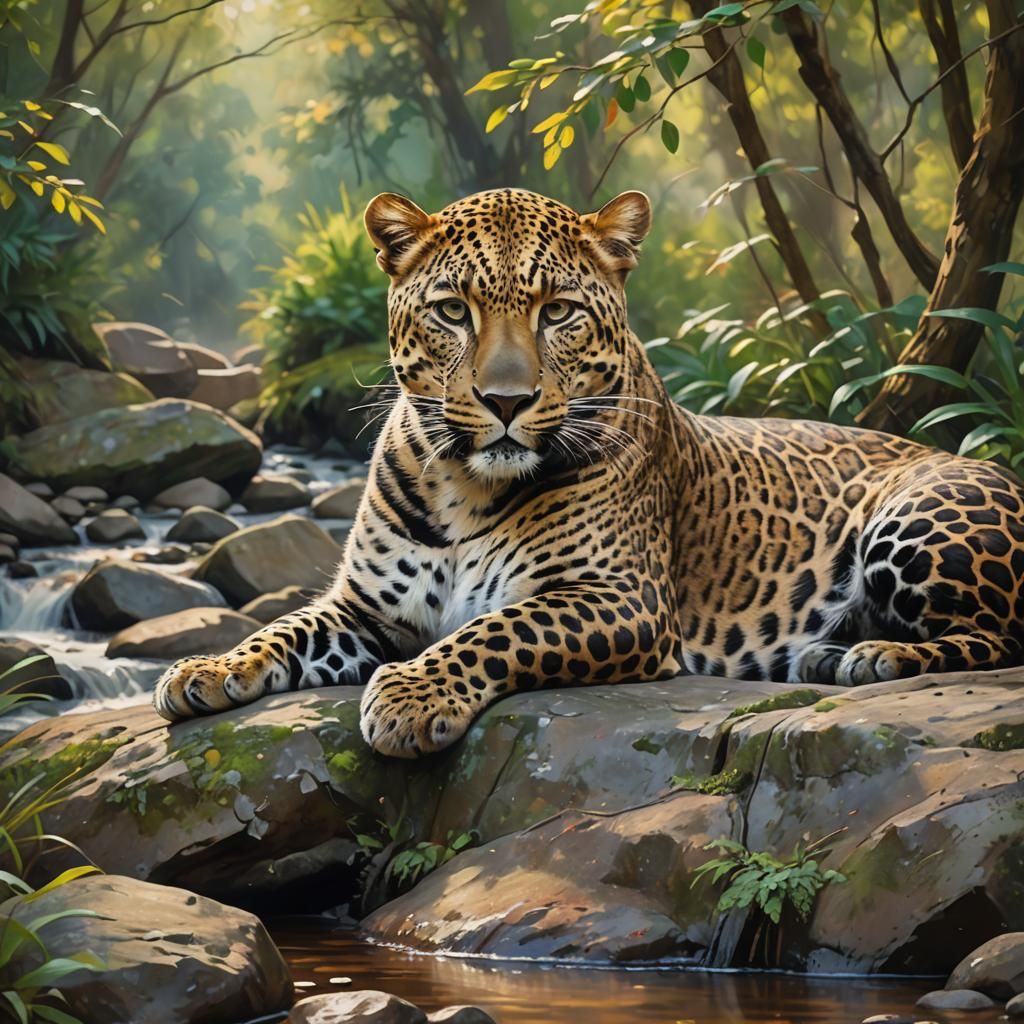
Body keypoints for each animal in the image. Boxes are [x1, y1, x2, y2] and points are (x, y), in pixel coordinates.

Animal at [154, 186, 1024, 758]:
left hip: (921, 517)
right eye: (453, 311)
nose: (506, 400)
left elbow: (492, 629)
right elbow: (282, 626)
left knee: (997, 637)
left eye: (558, 312)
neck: (463, 484)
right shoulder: (367, 609)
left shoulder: (619, 598)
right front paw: (205, 669)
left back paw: (870, 657)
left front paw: (410, 696)